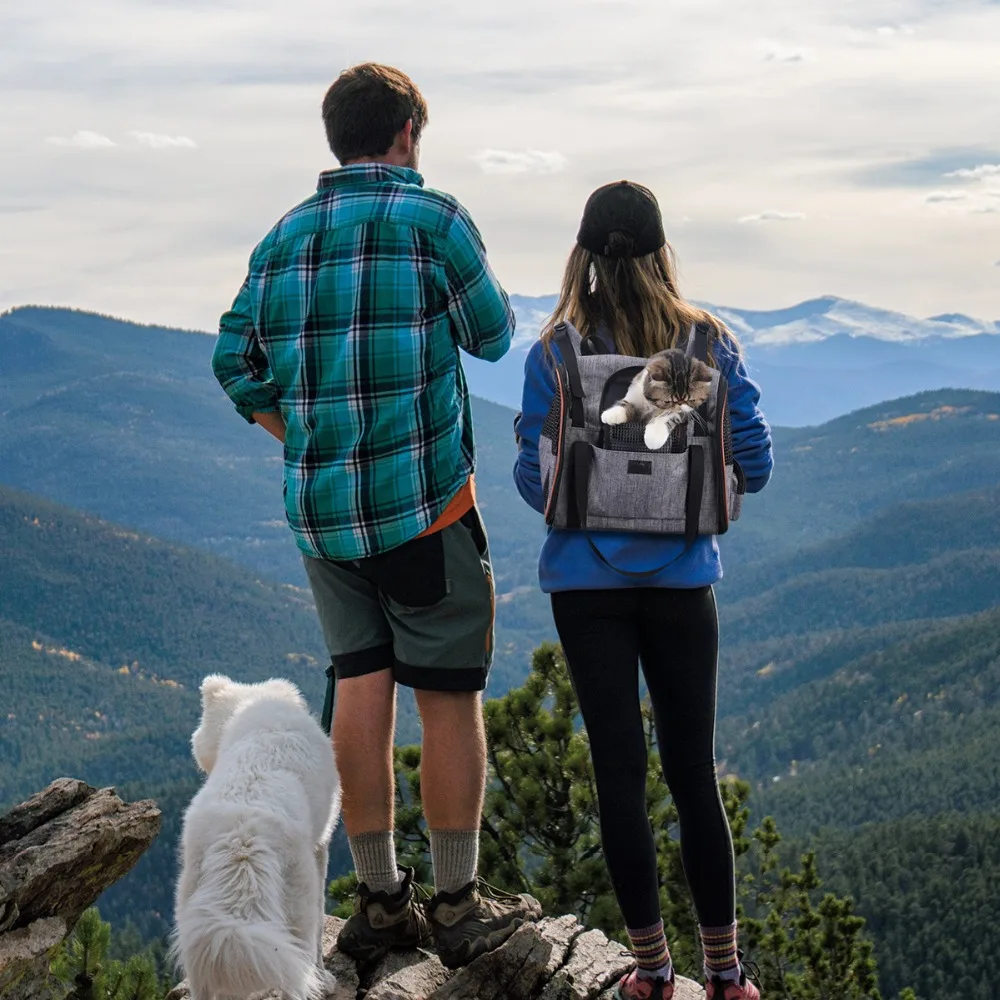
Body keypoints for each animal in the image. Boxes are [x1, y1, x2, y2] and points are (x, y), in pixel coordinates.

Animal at [174, 672, 342, 1000]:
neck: (253, 704)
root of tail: (243, 836)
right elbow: (321, 922)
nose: (195, 738)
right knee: (296, 973)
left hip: (193, 904)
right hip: (296, 906)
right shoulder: (321, 848)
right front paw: (324, 977)